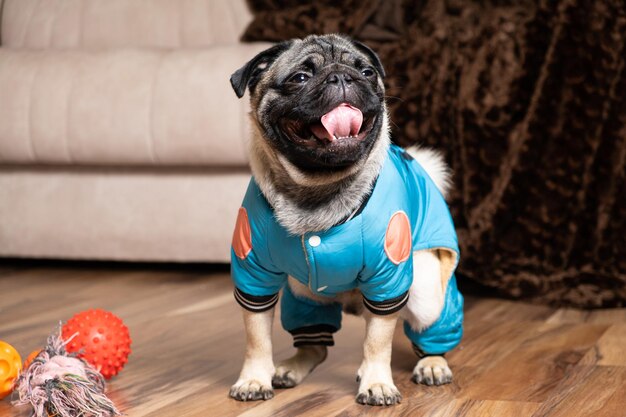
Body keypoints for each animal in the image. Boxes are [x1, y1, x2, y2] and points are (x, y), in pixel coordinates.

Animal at [227, 34, 460, 404]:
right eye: (300, 78)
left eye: (366, 72)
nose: (341, 77)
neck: (318, 188)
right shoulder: (254, 276)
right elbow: (257, 337)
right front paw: (253, 379)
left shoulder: (388, 281)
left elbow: (377, 341)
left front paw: (377, 382)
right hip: (303, 293)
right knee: (316, 345)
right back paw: (292, 366)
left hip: (426, 292)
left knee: (427, 325)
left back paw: (432, 363)